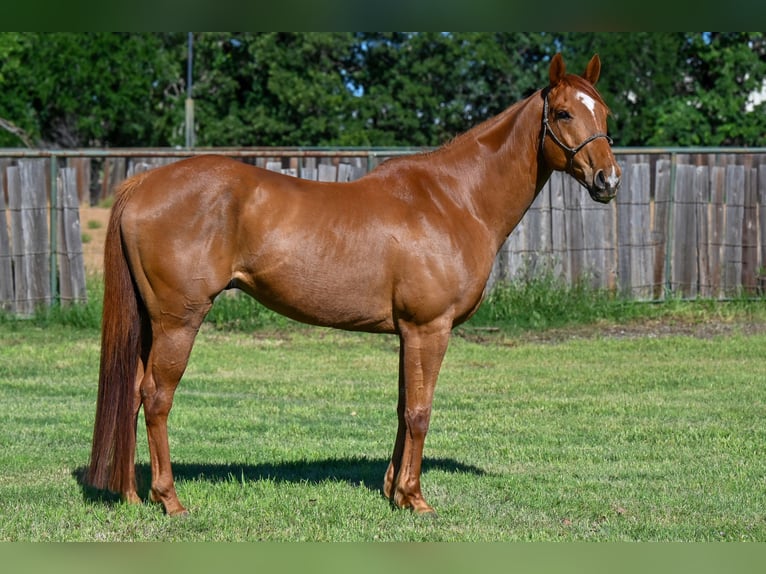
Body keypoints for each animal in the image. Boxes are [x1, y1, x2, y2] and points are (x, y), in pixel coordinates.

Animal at [87, 53, 620, 516]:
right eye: (565, 112)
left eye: (605, 111)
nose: (608, 180)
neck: (453, 199)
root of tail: (142, 184)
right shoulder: (430, 328)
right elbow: (421, 412)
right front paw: (416, 499)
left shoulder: (409, 332)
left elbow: (404, 408)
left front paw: (394, 492)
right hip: (178, 320)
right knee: (157, 398)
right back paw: (169, 500)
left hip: (151, 323)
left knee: (133, 394)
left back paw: (132, 496)